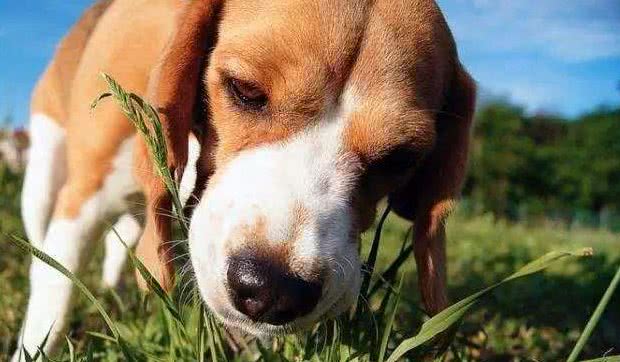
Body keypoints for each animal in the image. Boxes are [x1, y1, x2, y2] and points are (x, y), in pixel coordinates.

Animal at [14, 0, 474, 358]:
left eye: (400, 158)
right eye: (245, 90)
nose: (273, 290)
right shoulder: (82, 200)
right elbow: (52, 297)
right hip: (42, 178)